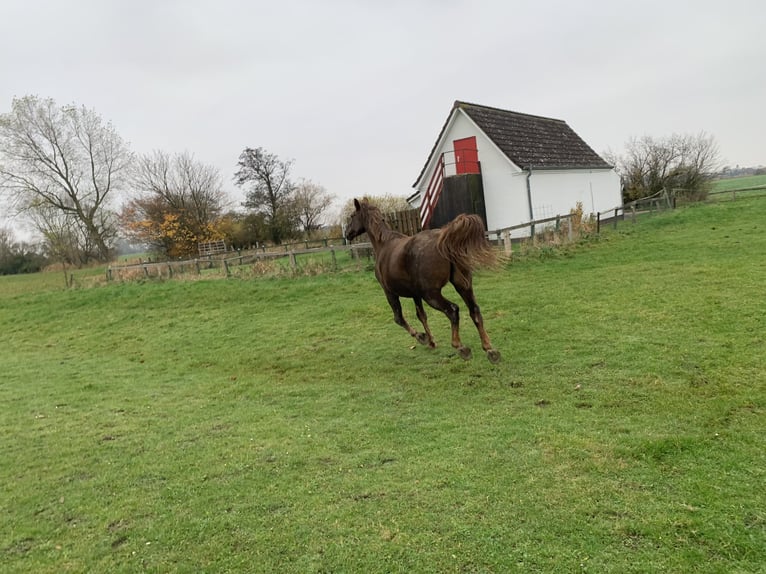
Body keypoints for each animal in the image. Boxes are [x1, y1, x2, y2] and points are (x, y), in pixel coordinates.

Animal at [345, 198, 501, 363]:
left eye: (352, 216)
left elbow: (399, 318)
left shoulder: (389, 292)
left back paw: (460, 346)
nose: (347, 234)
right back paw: (489, 349)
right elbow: (421, 315)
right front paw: (431, 341)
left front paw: (422, 337)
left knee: (453, 310)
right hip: (463, 285)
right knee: (474, 310)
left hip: (431, 294)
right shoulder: (415, 294)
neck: (384, 245)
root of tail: (444, 240)